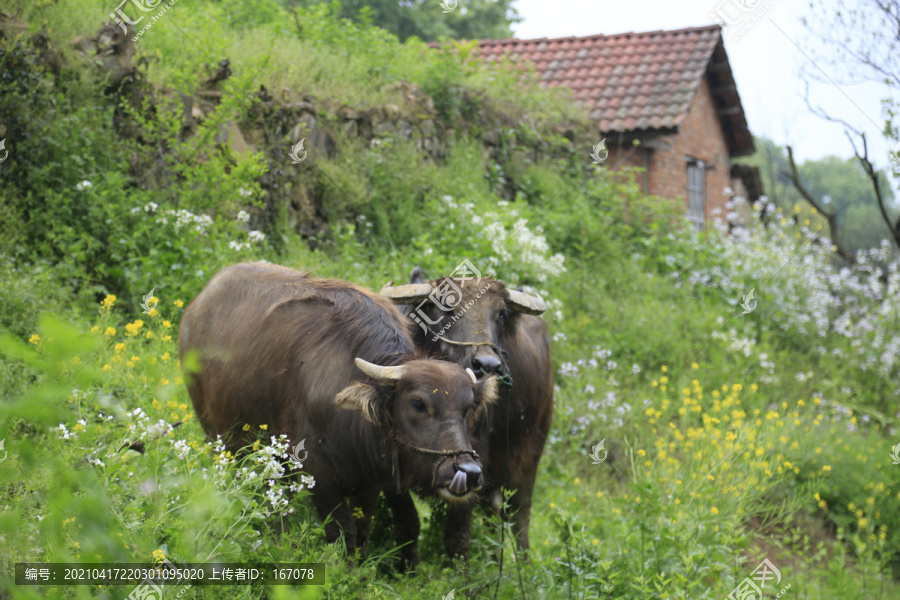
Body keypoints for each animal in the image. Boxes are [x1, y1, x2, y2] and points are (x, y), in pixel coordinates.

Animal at [176, 262, 500, 568]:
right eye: (418, 404)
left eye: (468, 407)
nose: (469, 472)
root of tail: (196, 307)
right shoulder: (319, 477)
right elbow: (341, 534)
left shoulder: (369, 484)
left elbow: (361, 533)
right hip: (219, 437)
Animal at [378, 268, 552, 556]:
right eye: (447, 307)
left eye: (501, 313)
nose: (488, 365)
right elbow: (407, 523)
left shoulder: (475, 462)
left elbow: (457, 535)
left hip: (528, 459)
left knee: (520, 519)